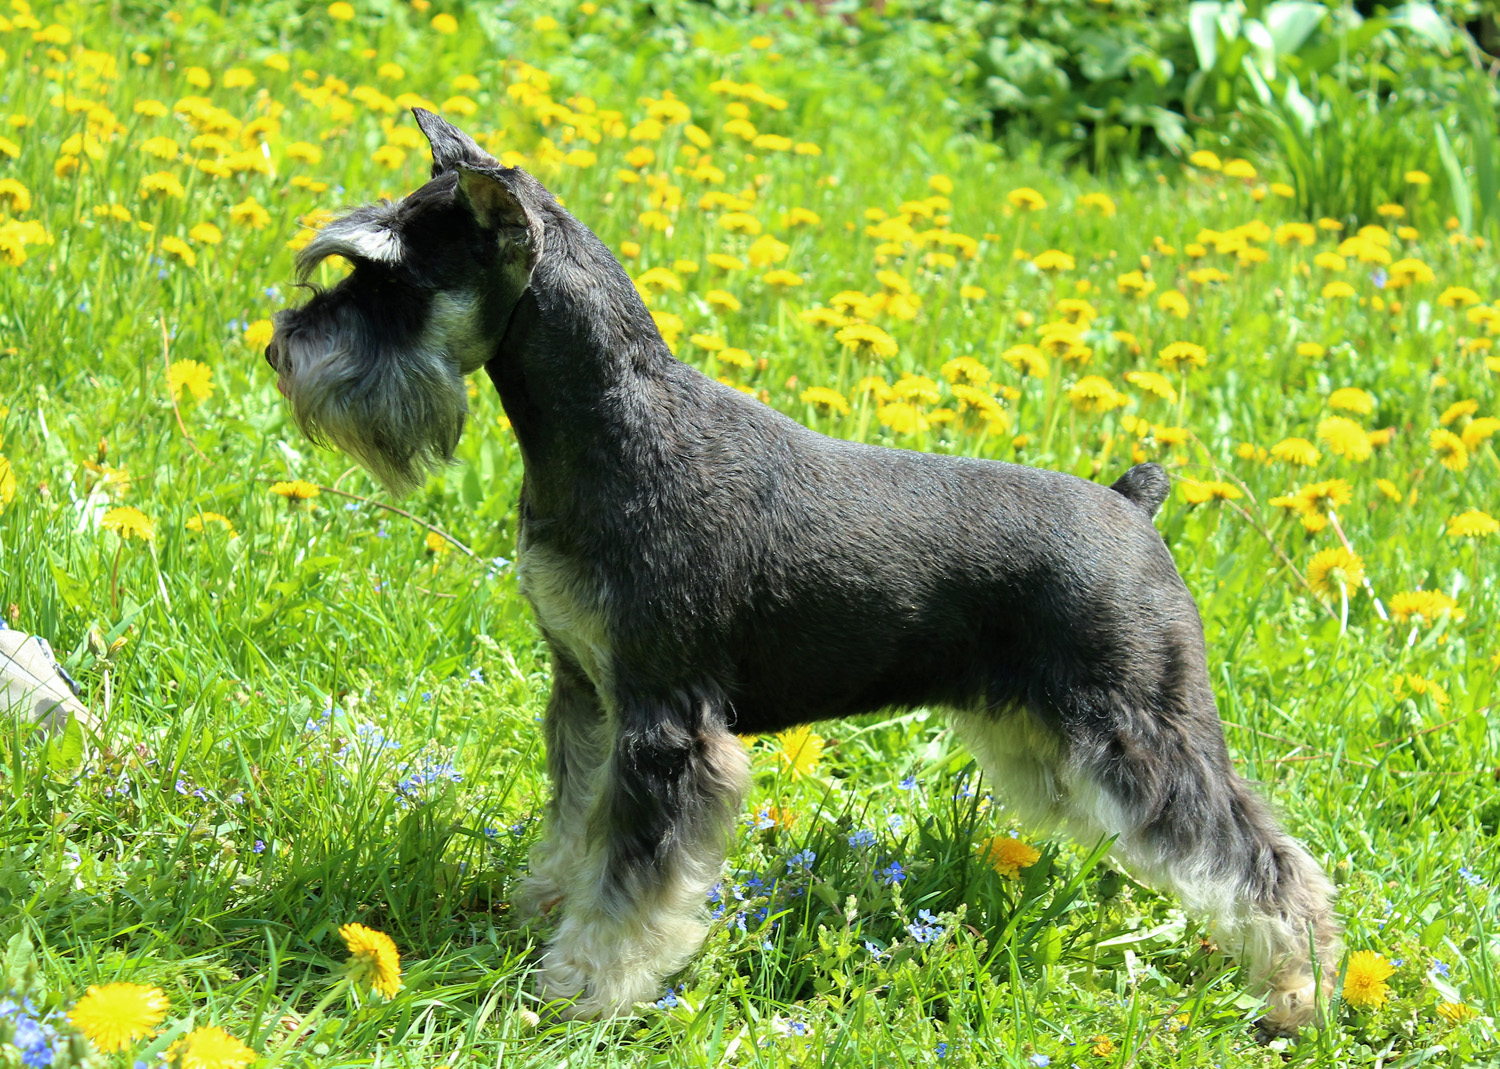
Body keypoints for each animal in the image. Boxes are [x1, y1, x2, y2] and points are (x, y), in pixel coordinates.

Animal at [267, 110, 1338, 1031]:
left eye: (395, 284)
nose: (282, 346)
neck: (611, 424)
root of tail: (1131, 502)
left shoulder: (666, 727)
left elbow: (632, 879)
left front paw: (583, 989)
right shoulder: (588, 696)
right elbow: (577, 826)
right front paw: (541, 912)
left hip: (1143, 732)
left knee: (1264, 863)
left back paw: (1303, 991)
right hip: (1042, 737)